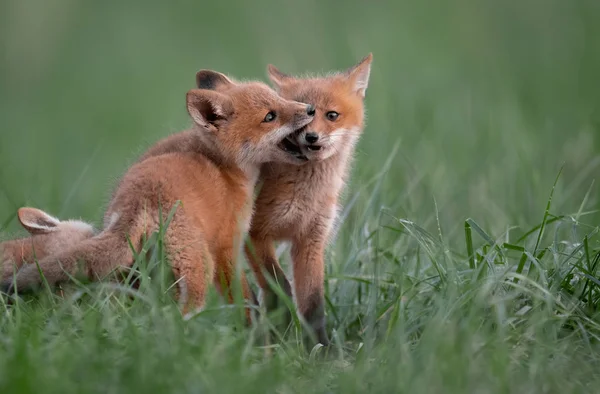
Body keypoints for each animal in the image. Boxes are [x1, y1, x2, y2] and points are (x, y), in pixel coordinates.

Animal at [2, 69, 314, 318]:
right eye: (270, 116)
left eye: (279, 99)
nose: (311, 108)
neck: (223, 166)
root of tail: (140, 199)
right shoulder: (227, 245)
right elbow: (243, 298)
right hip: (197, 268)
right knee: (181, 315)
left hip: (138, 267)